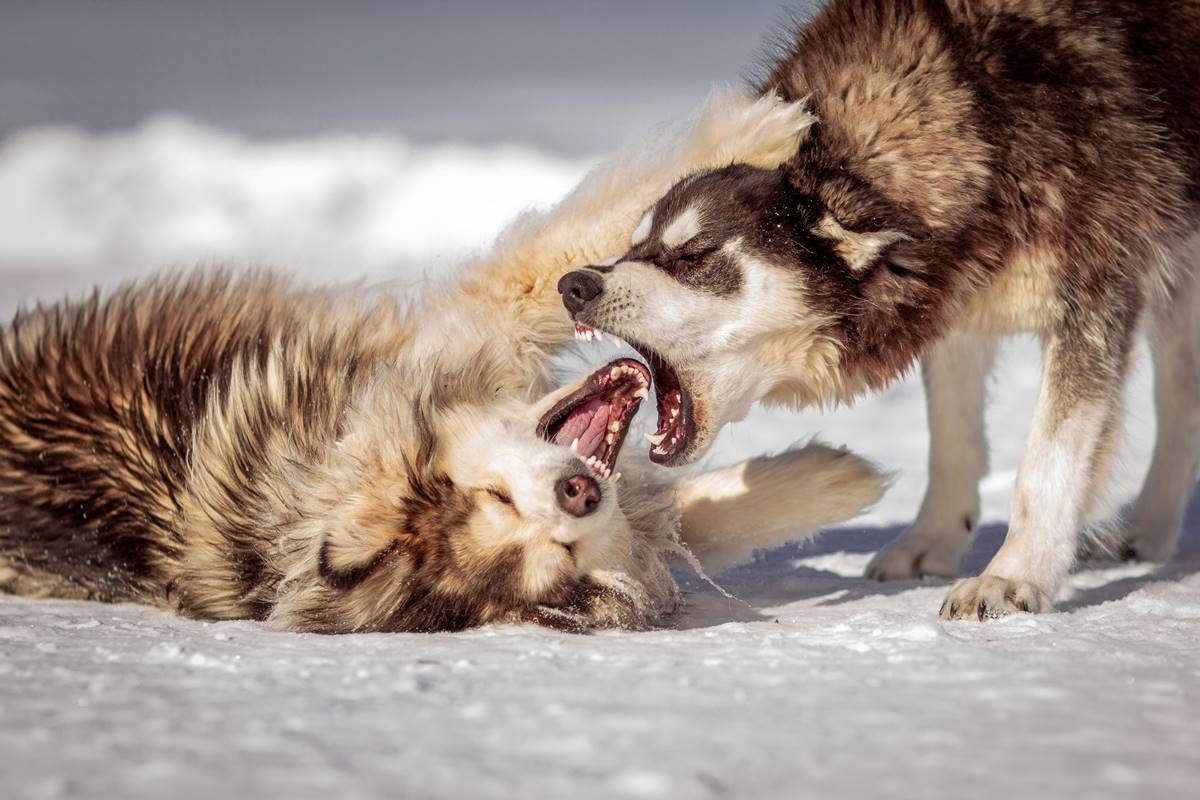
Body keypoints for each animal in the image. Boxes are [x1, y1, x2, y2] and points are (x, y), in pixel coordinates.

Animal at [0, 92, 883, 633]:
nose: (575, 494)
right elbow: (678, 516)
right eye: (552, 552)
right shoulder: (481, 321)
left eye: (494, 494)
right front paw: (837, 479)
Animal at [561, 1, 1200, 618]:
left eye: (693, 254)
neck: (985, 115)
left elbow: (1048, 462)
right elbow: (953, 439)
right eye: (634, 247)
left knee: (1176, 402)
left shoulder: (1092, 305)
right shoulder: (956, 311)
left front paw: (1013, 576)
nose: (574, 285)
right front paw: (934, 541)